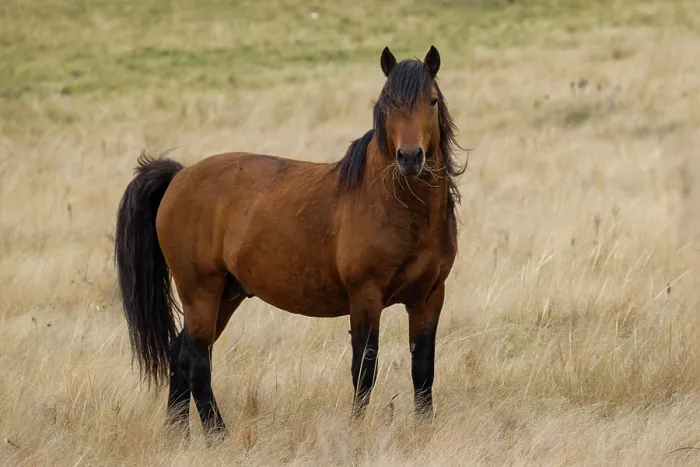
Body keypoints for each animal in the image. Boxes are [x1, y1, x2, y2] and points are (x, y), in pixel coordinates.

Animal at [114, 45, 465, 440]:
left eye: (432, 100)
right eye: (387, 104)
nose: (409, 157)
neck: (398, 207)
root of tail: (179, 176)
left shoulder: (429, 296)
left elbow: (423, 368)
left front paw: (425, 429)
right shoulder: (365, 296)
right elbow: (364, 368)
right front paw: (356, 430)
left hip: (226, 295)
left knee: (180, 353)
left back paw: (178, 433)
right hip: (201, 291)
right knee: (196, 359)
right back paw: (219, 436)